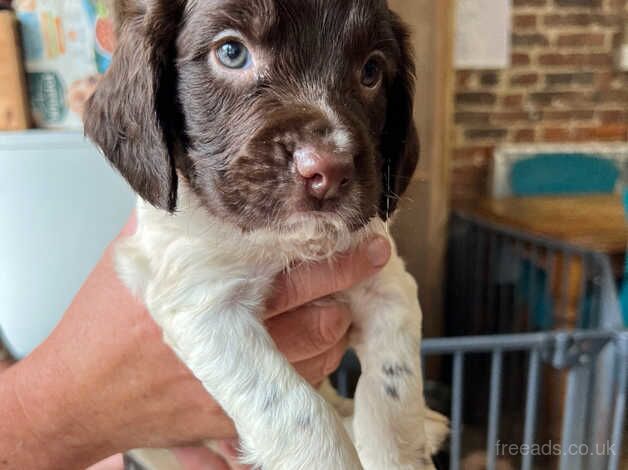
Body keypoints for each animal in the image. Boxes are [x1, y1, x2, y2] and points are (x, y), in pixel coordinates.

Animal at [84, 0, 446, 470]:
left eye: (371, 71)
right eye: (231, 52)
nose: (327, 171)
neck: (284, 245)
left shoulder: (387, 281)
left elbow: (393, 393)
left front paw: (395, 449)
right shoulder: (204, 303)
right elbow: (298, 411)